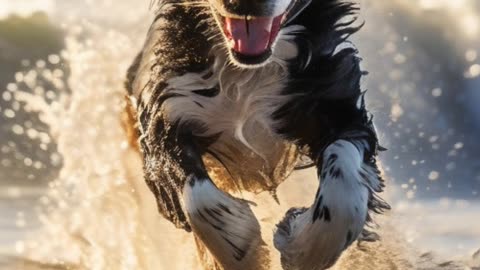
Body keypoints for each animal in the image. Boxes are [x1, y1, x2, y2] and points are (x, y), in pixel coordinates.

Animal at [124, 0, 390, 268]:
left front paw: (301, 246)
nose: (244, 3)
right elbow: (197, 197)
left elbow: (343, 192)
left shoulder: (335, 101)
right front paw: (244, 248)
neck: (245, 72)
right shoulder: (167, 111)